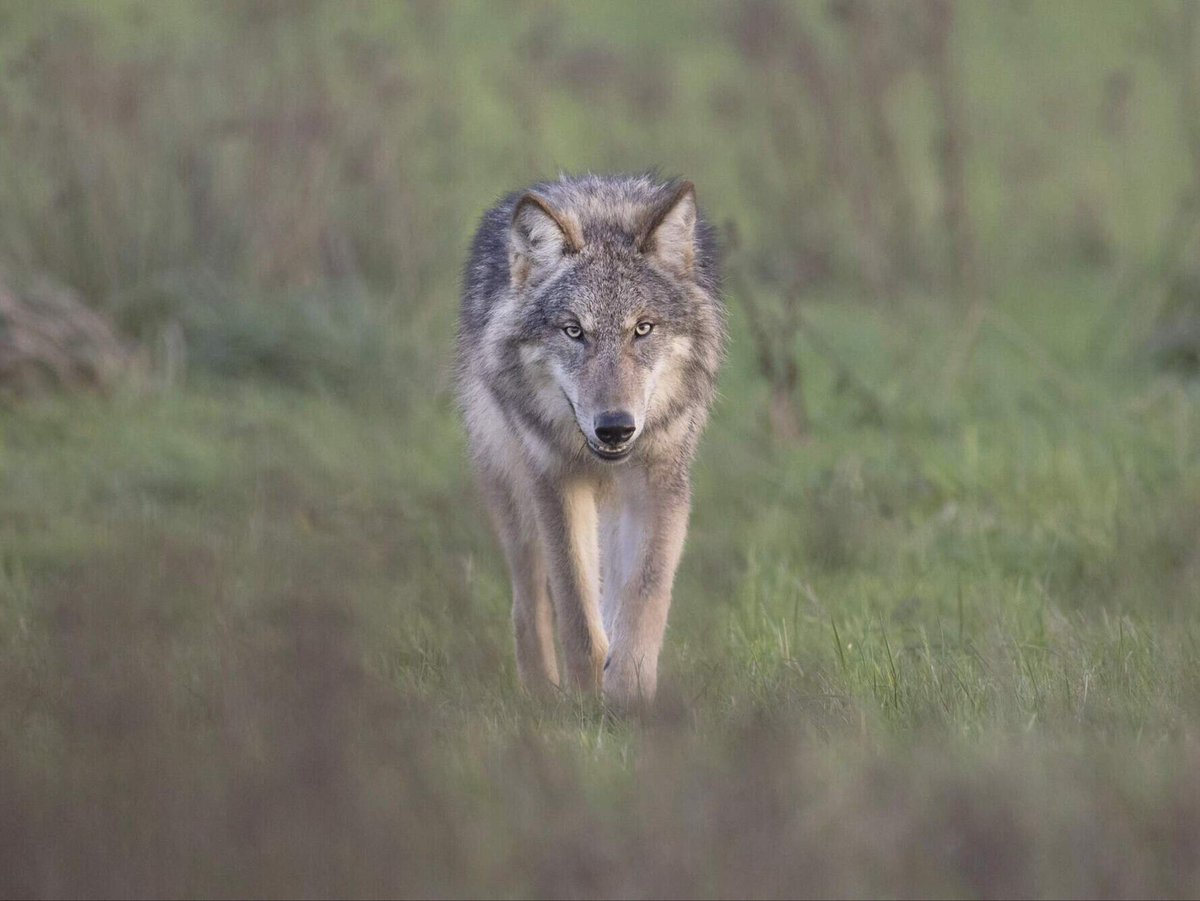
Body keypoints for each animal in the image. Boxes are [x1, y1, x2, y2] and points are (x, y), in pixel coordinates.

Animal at [457, 173, 725, 706]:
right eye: (574, 331)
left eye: (643, 328)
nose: (615, 426)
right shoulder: (556, 481)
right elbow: (577, 613)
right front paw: (583, 701)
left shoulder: (661, 483)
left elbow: (644, 595)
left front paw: (629, 693)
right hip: (515, 495)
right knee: (529, 602)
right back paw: (541, 693)